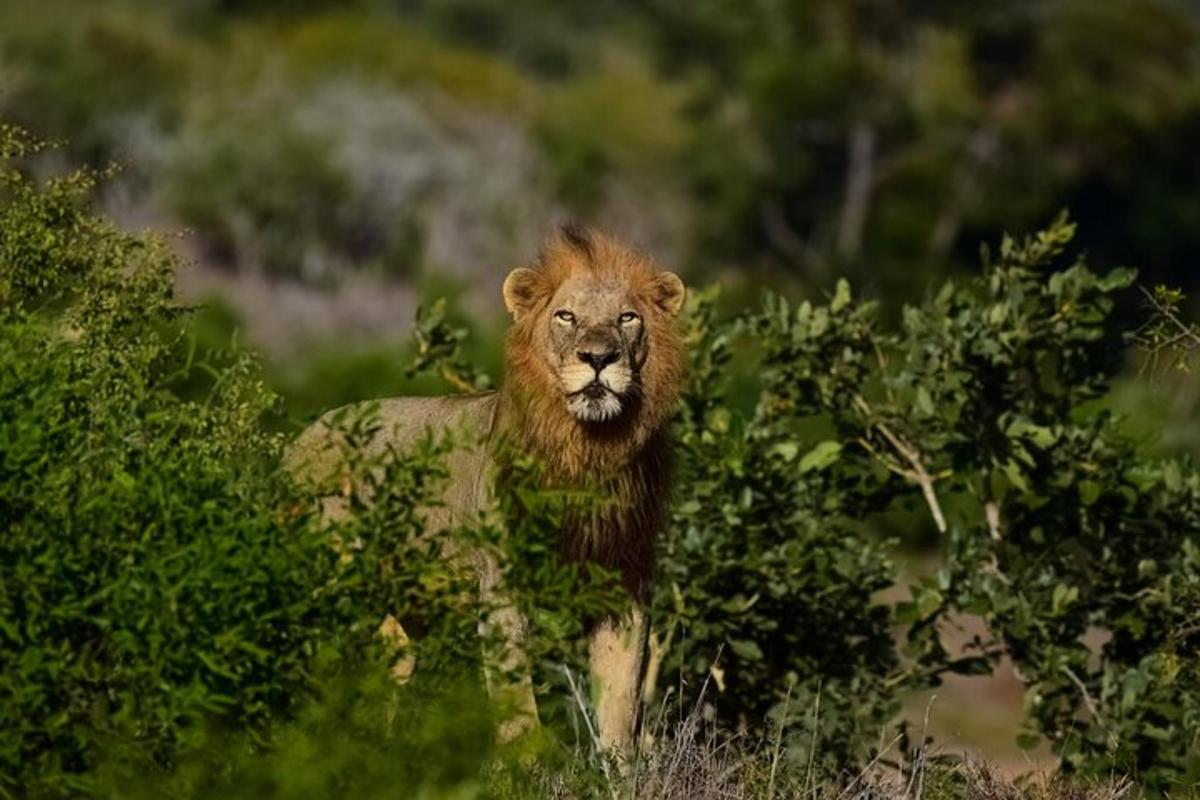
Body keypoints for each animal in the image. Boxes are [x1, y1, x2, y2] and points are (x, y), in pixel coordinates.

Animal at [282, 226, 691, 758]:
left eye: (628, 318)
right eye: (566, 316)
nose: (599, 358)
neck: (588, 449)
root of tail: (298, 440)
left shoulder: (623, 585)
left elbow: (620, 700)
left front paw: (621, 768)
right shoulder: (502, 583)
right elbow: (516, 697)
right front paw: (525, 764)